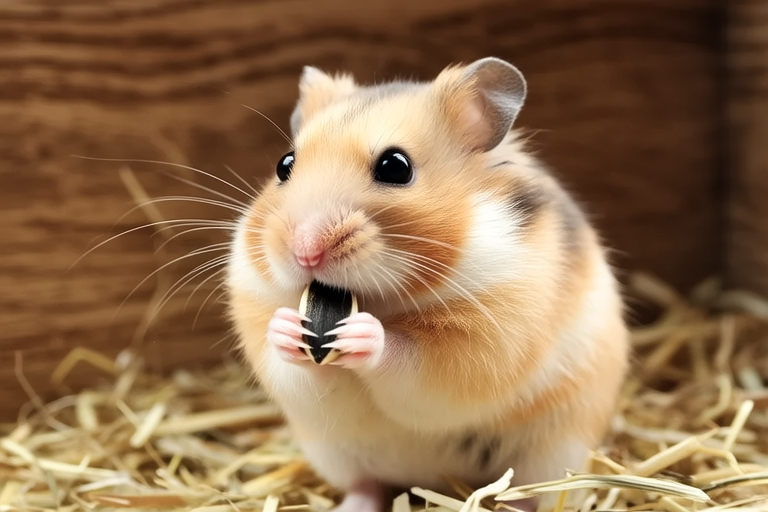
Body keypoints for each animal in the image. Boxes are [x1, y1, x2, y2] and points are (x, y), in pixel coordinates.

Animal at [226, 57, 629, 512]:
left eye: (395, 167)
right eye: (284, 165)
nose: (305, 252)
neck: (382, 301)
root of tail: (430, 481)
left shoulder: (483, 344)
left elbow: (410, 357)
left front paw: (364, 334)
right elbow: (290, 367)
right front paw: (286, 327)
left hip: (557, 451)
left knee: (530, 493)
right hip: (334, 453)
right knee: (368, 484)